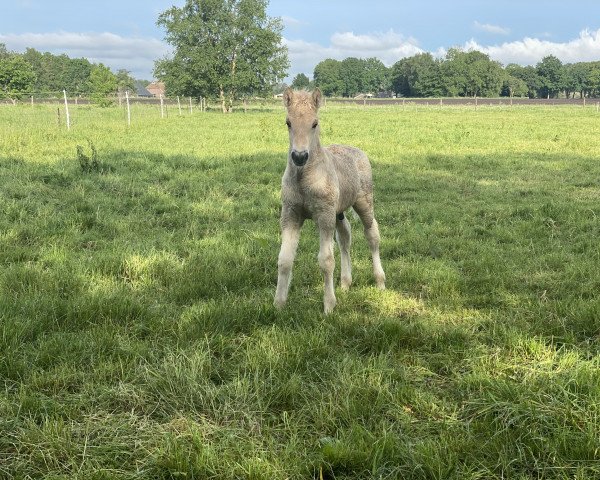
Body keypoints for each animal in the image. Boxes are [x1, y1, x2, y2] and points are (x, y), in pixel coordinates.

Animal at [274, 88, 386, 316]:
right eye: (288, 122)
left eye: (314, 123)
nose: (299, 156)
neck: (304, 178)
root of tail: (357, 150)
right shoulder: (290, 214)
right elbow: (285, 259)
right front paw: (279, 305)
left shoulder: (324, 216)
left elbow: (326, 260)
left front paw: (328, 306)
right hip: (339, 212)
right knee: (345, 236)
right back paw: (345, 283)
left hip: (364, 202)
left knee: (372, 234)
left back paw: (380, 281)